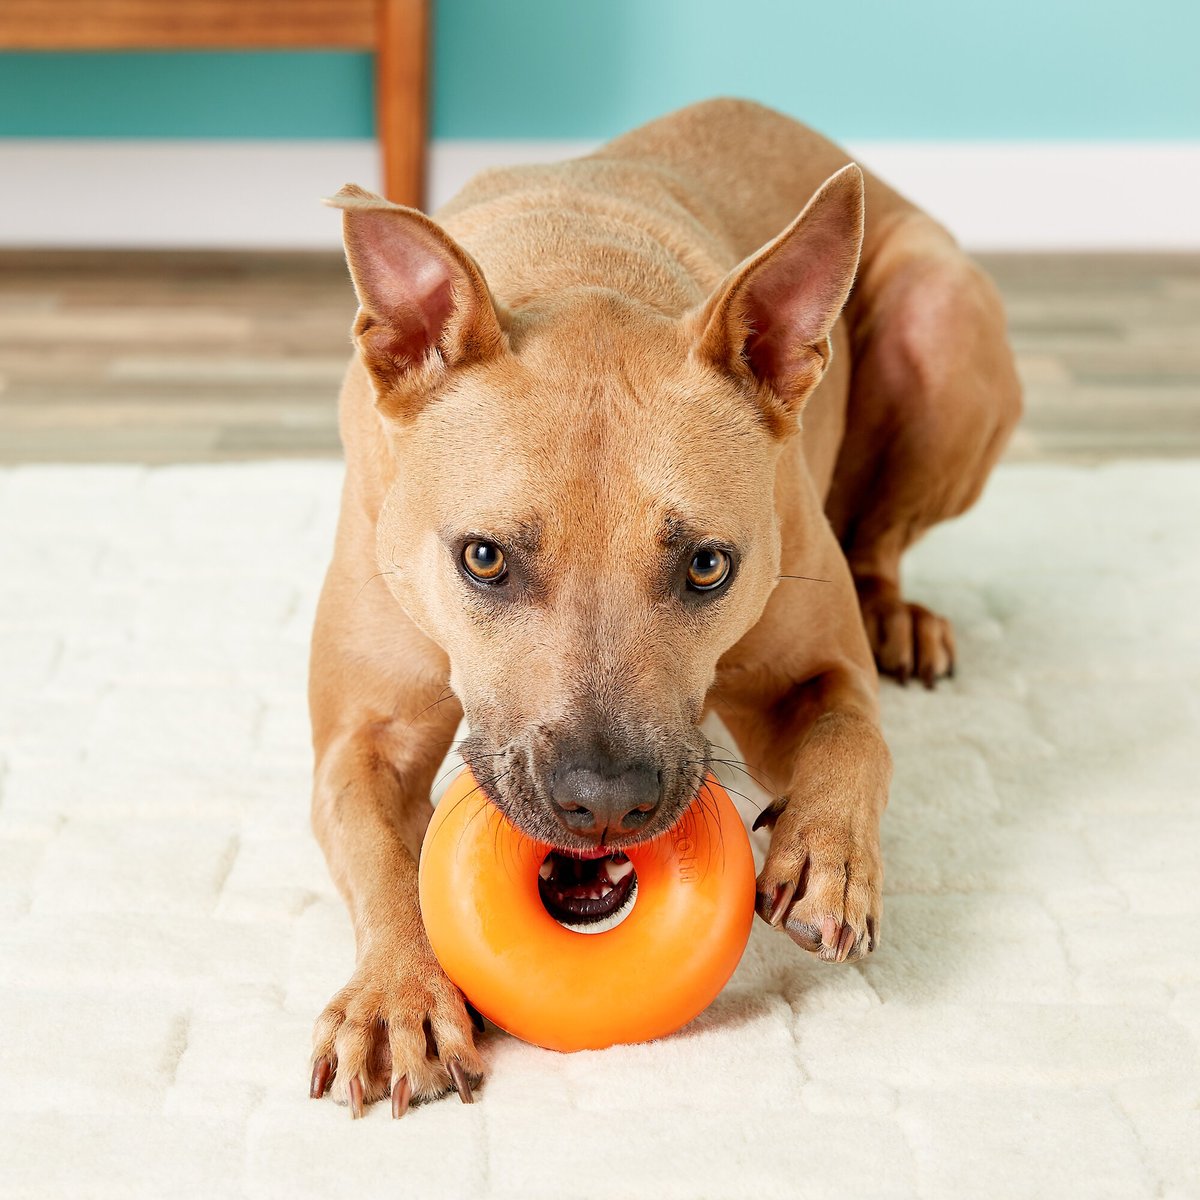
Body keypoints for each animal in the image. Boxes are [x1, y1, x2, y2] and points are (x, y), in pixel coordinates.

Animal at [304, 98, 1017, 1118]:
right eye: (483, 558)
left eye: (708, 566)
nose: (603, 804)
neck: (582, 271)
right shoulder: (365, 736)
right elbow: (376, 854)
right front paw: (396, 993)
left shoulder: (814, 670)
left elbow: (856, 738)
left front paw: (829, 857)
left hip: (941, 309)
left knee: (883, 535)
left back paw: (899, 616)